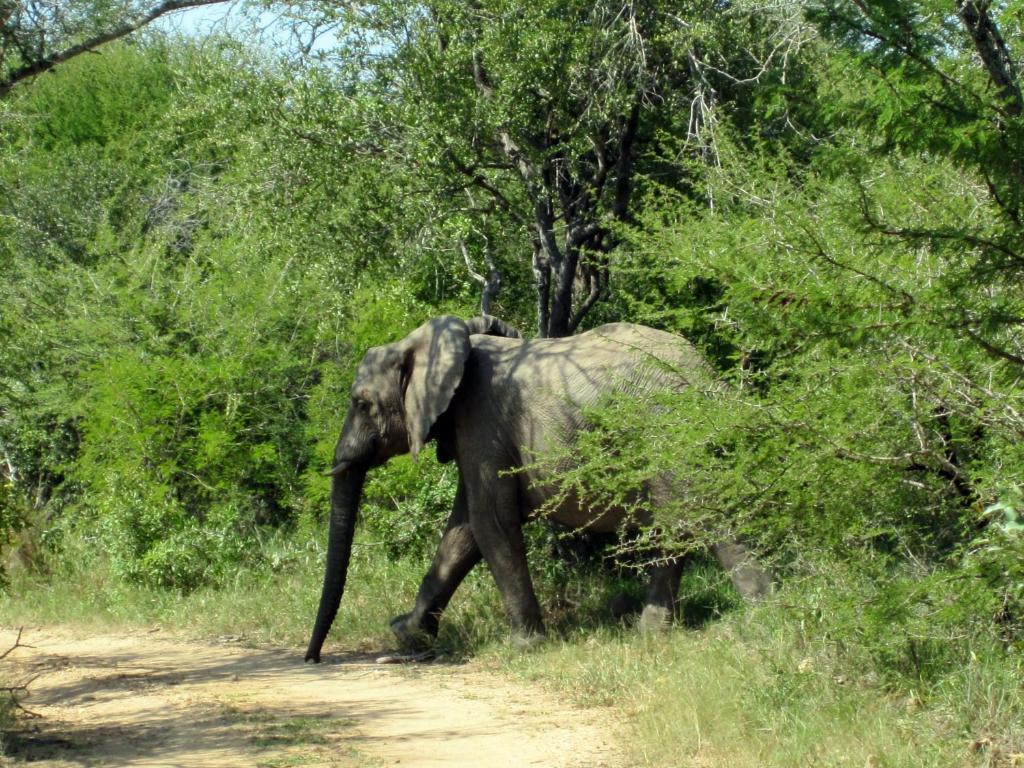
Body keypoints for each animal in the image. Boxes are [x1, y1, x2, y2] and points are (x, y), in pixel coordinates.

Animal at [303, 315, 770, 663]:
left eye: (362, 403)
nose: (313, 658)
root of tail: (710, 377)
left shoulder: (482, 420)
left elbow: (489, 522)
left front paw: (526, 647)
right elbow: (463, 531)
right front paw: (407, 633)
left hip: (668, 428)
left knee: (704, 514)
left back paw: (763, 617)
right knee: (672, 526)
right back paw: (652, 633)